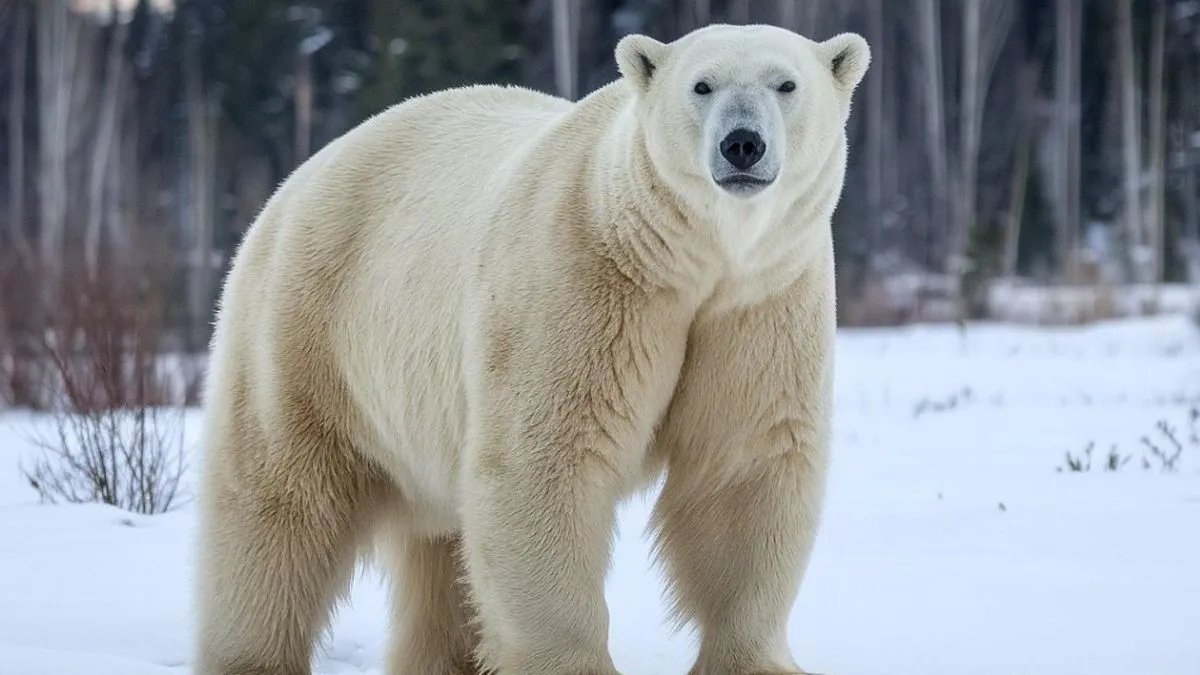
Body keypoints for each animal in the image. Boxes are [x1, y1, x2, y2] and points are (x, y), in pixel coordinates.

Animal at [192, 22, 869, 675]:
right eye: (702, 86)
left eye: (785, 84)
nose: (742, 144)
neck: (686, 257)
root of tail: (301, 176)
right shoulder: (584, 277)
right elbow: (544, 462)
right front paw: (576, 665)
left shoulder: (761, 303)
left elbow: (744, 467)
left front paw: (757, 664)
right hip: (308, 326)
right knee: (279, 501)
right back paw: (254, 656)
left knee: (442, 543)